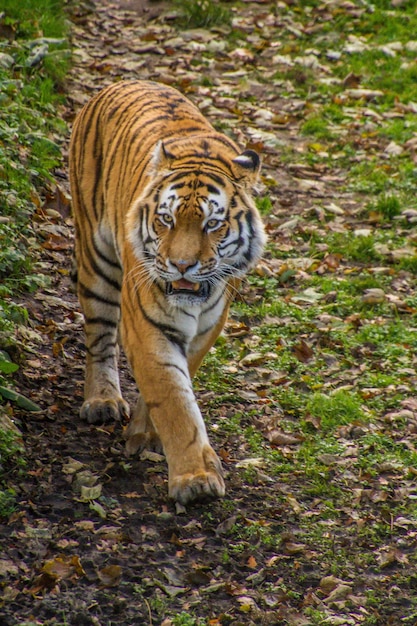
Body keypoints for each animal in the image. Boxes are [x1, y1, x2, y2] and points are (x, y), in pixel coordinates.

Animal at [67, 81, 264, 502]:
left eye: (212, 224)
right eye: (166, 219)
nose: (182, 265)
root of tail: (121, 81)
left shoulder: (209, 327)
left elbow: (175, 384)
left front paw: (146, 433)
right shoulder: (148, 325)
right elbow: (174, 400)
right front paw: (196, 480)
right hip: (97, 258)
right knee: (100, 337)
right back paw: (103, 400)